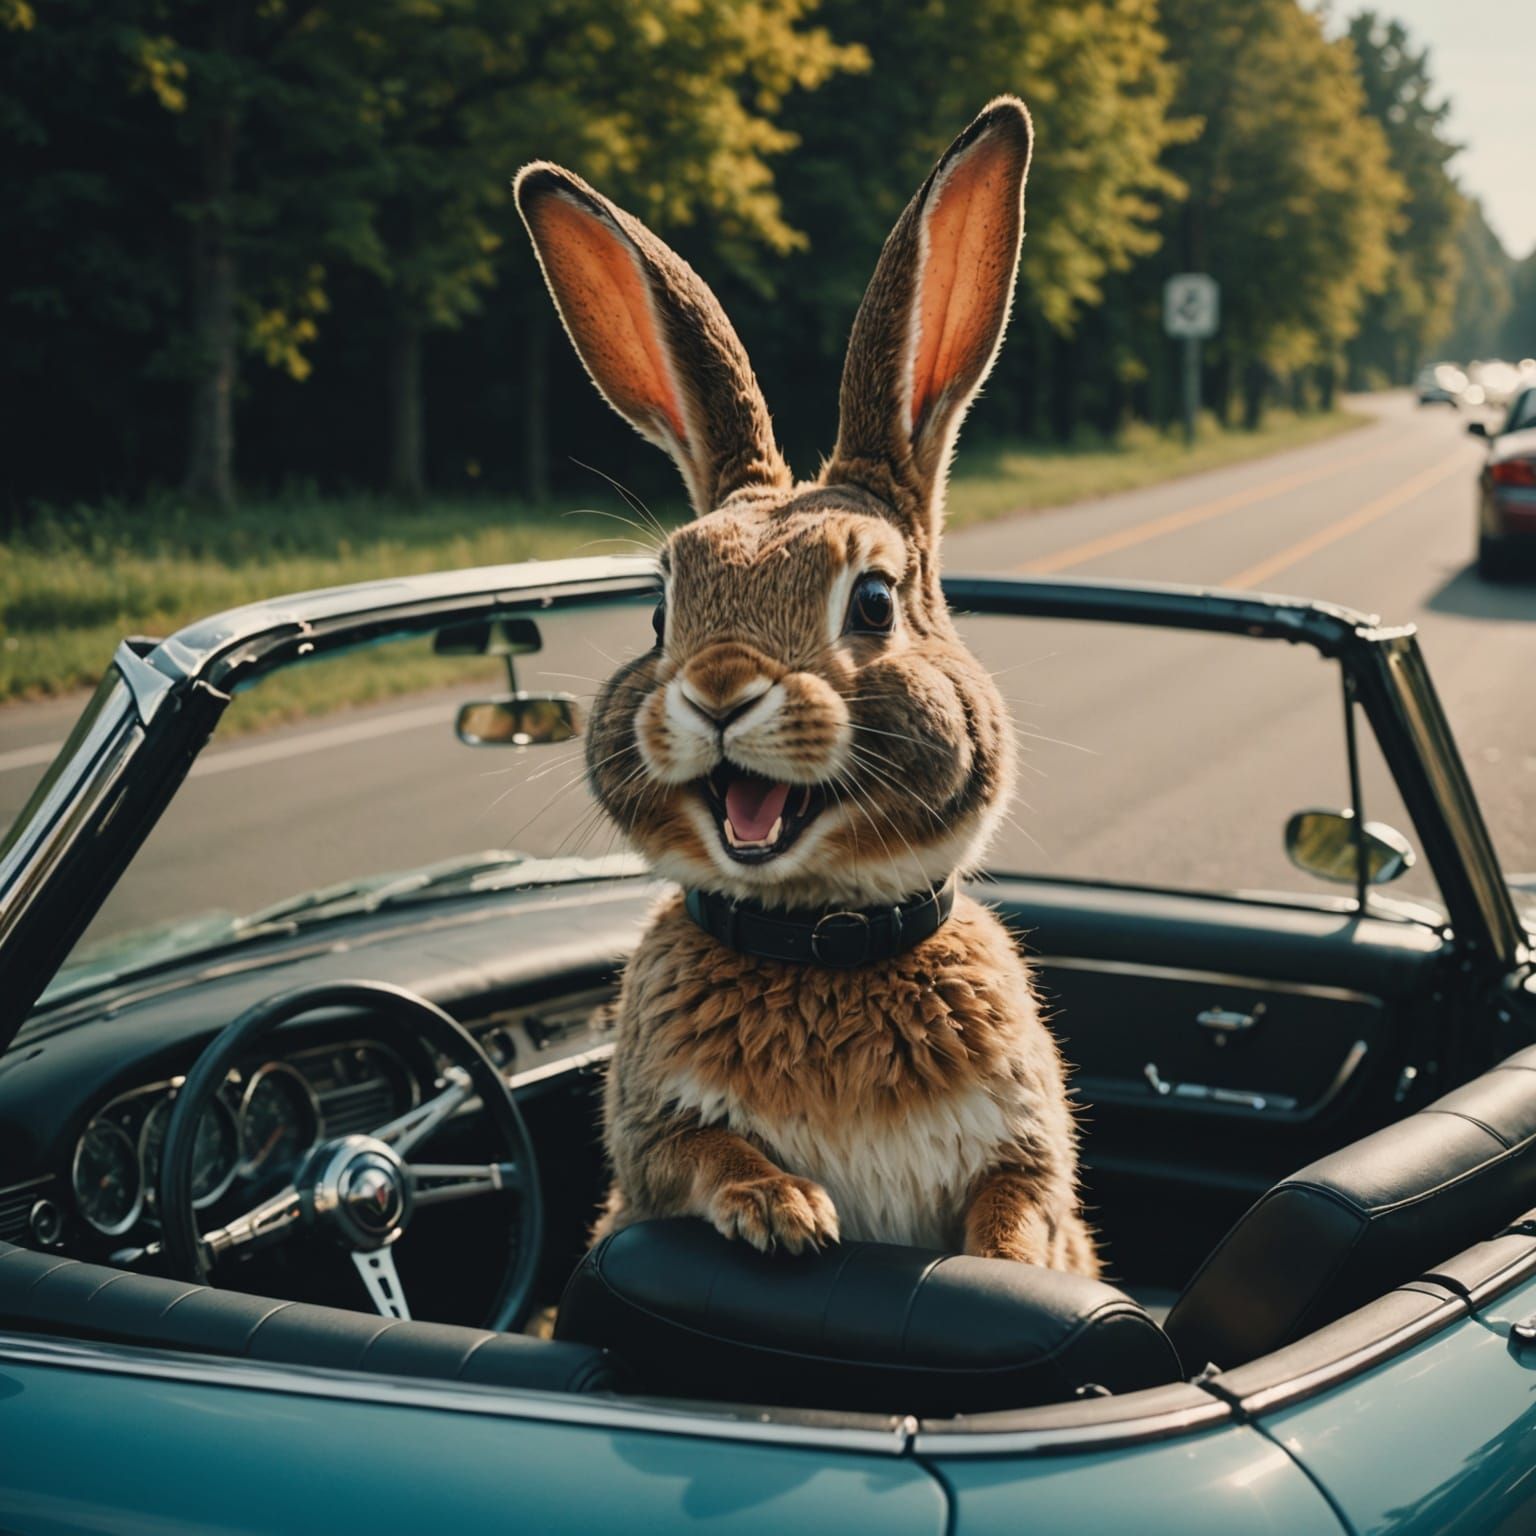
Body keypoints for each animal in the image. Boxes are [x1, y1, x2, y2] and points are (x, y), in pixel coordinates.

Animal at [514, 97, 1099, 1275]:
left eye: (872, 601)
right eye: (661, 610)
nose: (718, 690)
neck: (819, 939)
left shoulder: (1027, 1152)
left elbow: (1020, 1202)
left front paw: (1003, 1266)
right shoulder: (653, 1144)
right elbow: (706, 1155)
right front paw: (786, 1211)